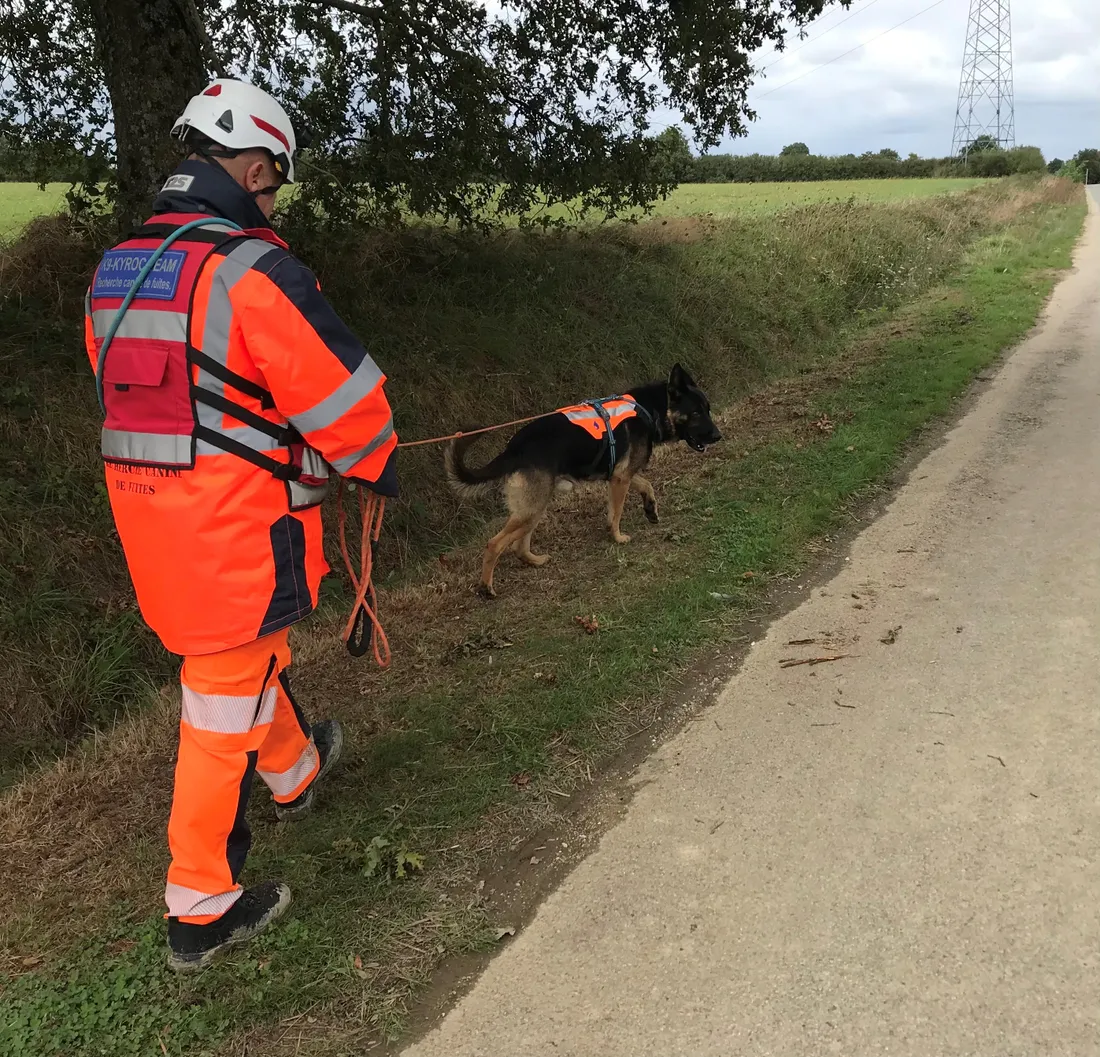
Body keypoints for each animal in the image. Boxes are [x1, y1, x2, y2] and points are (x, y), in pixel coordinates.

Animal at [444, 362, 721, 593]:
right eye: (696, 413)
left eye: (708, 410)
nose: (718, 436)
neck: (650, 409)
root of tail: (514, 449)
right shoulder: (620, 479)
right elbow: (616, 512)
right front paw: (617, 537)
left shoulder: (619, 475)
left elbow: (645, 483)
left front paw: (650, 508)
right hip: (530, 508)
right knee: (494, 544)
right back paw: (486, 588)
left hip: (534, 507)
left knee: (518, 546)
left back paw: (535, 561)